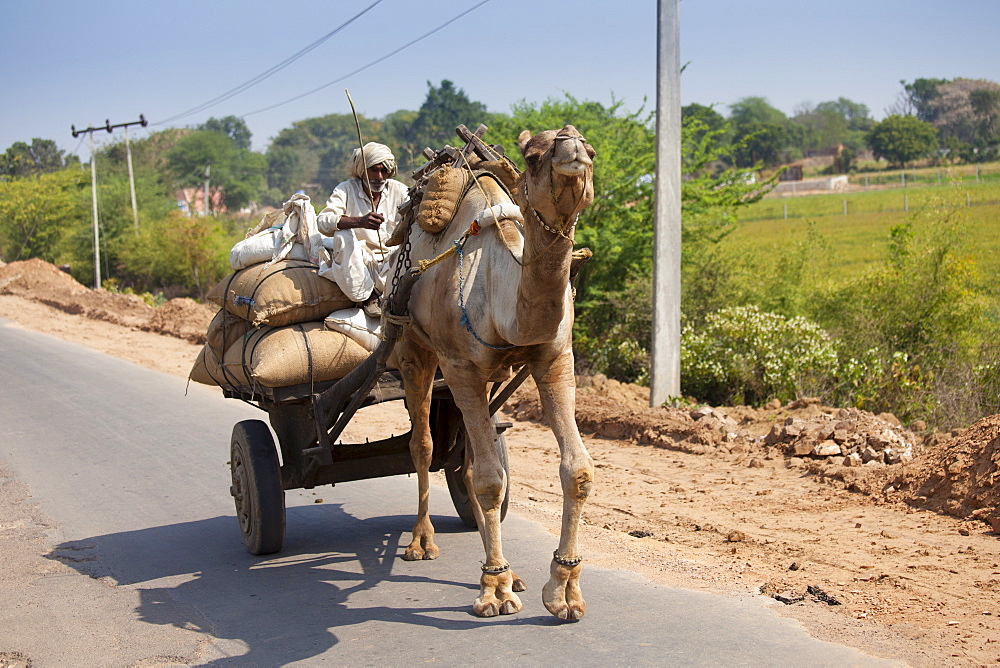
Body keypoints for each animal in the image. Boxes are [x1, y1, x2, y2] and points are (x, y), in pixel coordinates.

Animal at [390, 126, 592, 620]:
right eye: (533, 156)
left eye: (592, 149)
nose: (573, 149)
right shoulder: (459, 367)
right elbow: (488, 478)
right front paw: (493, 590)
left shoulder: (554, 358)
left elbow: (576, 470)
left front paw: (564, 590)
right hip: (414, 349)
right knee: (423, 444)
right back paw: (422, 542)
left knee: (466, 456)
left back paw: (510, 569)